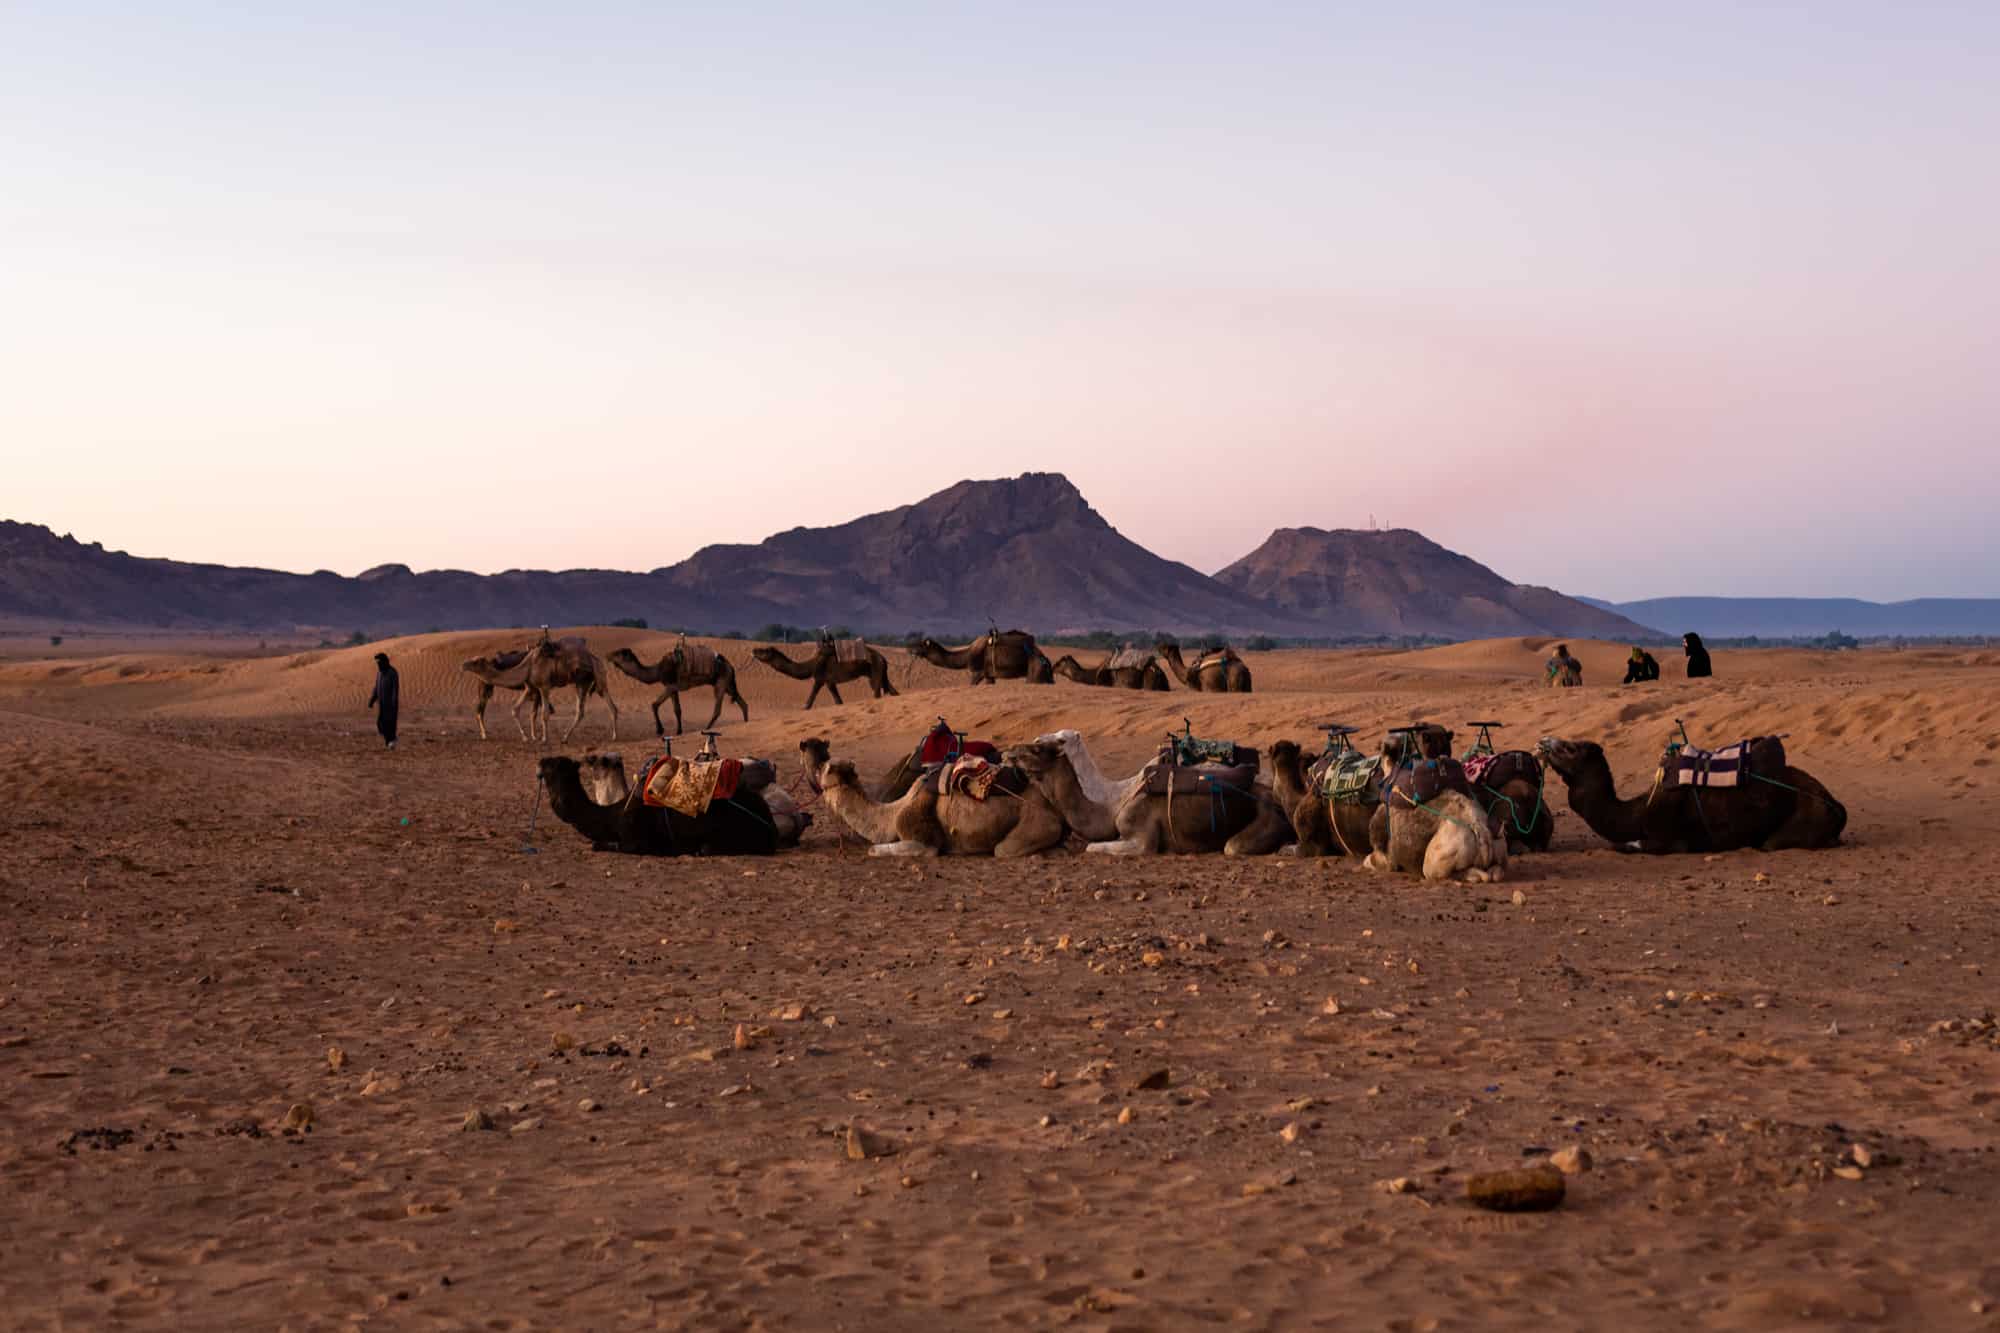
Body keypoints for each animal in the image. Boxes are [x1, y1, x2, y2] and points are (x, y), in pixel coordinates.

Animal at [536, 752, 776, 856]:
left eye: (553, 765)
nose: (541, 760)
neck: (612, 815)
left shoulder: (634, 838)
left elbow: (609, 845)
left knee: (708, 847)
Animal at [604, 644, 752, 736]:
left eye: (618, 653)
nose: (607, 655)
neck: (657, 671)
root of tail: (730, 666)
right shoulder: (674, 688)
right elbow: (677, 710)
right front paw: (679, 731)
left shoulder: (670, 685)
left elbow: (654, 704)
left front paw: (660, 730)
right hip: (728, 684)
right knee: (742, 703)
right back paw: (745, 723)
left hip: (721, 681)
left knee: (718, 708)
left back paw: (707, 728)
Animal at [752, 640, 904, 712]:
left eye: (764, 651)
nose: (753, 650)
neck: (812, 664)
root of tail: (883, 658)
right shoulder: (829, 682)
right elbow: (838, 701)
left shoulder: (821, 678)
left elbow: (812, 698)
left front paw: (804, 708)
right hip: (878, 672)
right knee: (890, 689)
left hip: (875, 669)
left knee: (877, 691)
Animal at [916, 628, 1056, 680]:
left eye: (922, 646)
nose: (913, 651)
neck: (967, 654)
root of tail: (1045, 659)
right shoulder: (989, 675)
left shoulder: (978, 672)